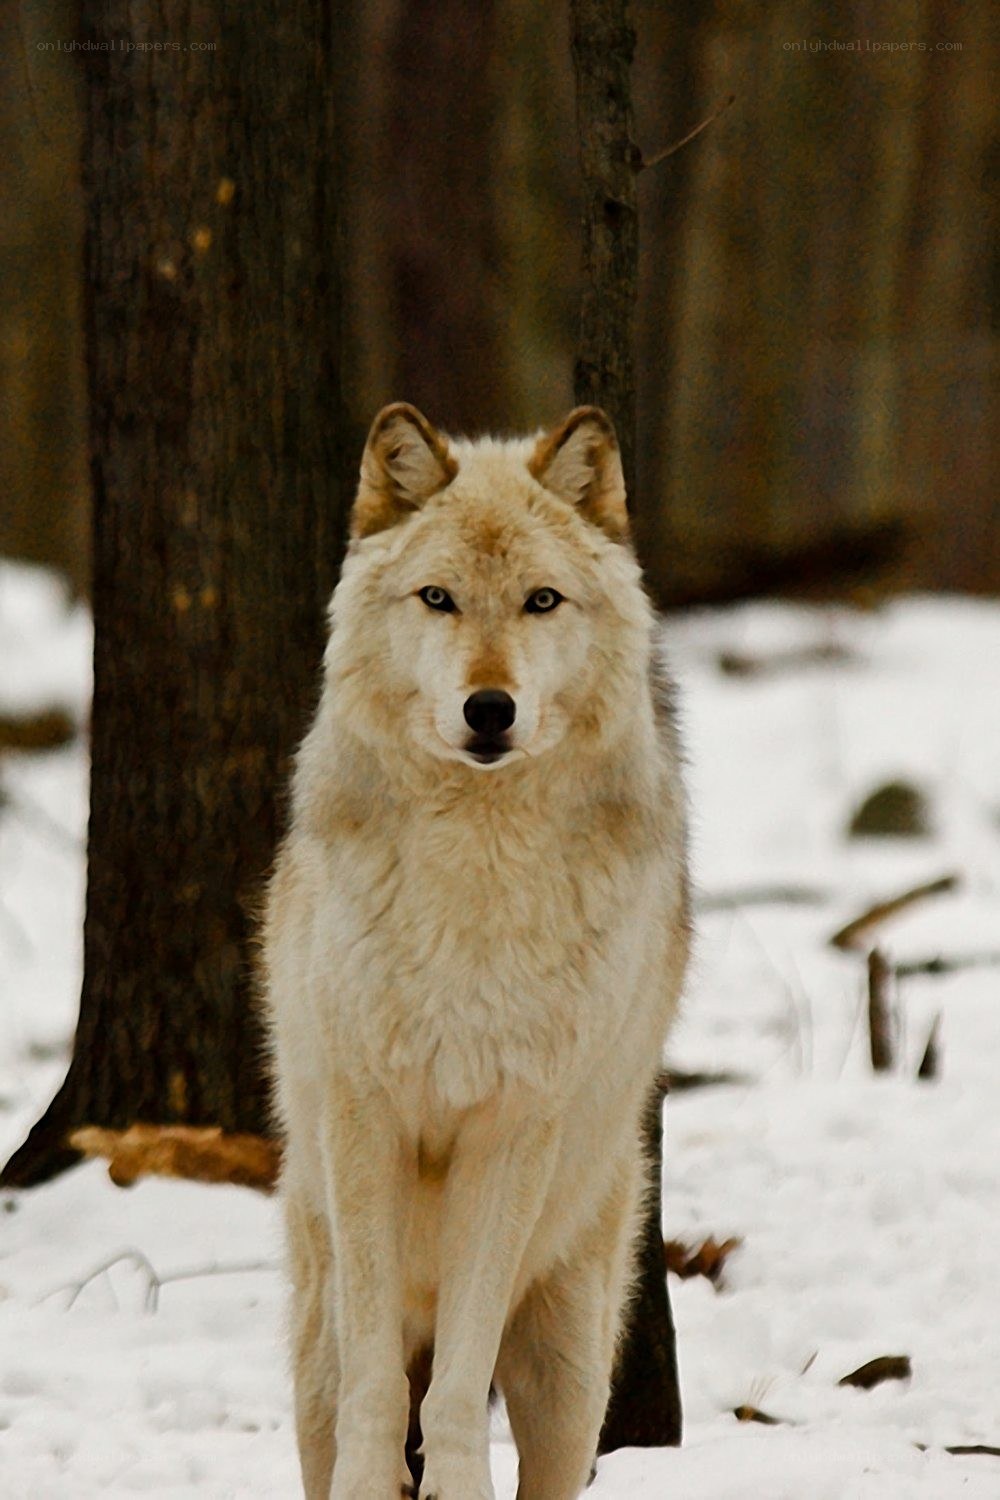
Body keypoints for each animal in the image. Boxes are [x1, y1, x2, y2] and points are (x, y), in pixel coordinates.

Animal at [262, 402, 689, 1500]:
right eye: (438, 598)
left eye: (541, 600)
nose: (489, 709)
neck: (475, 878)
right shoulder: (365, 1121)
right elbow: (381, 1396)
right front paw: (374, 1485)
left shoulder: (512, 1134)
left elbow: (453, 1397)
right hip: (315, 1327)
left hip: (571, 1369)